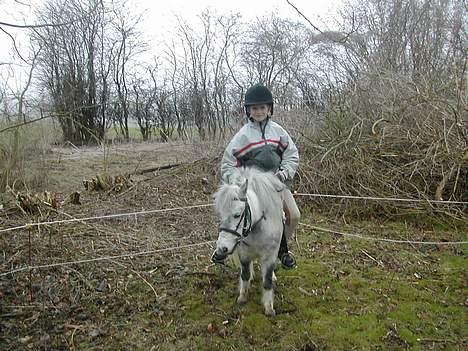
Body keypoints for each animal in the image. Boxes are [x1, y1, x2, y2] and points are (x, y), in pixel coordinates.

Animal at [213, 168, 286, 316]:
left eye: (237, 215)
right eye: (220, 215)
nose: (222, 248)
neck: (258, 227)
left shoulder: (270, 255)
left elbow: (267, 280)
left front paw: (269, 308)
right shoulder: (244, 253)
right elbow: (245, 274)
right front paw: (242, 297)